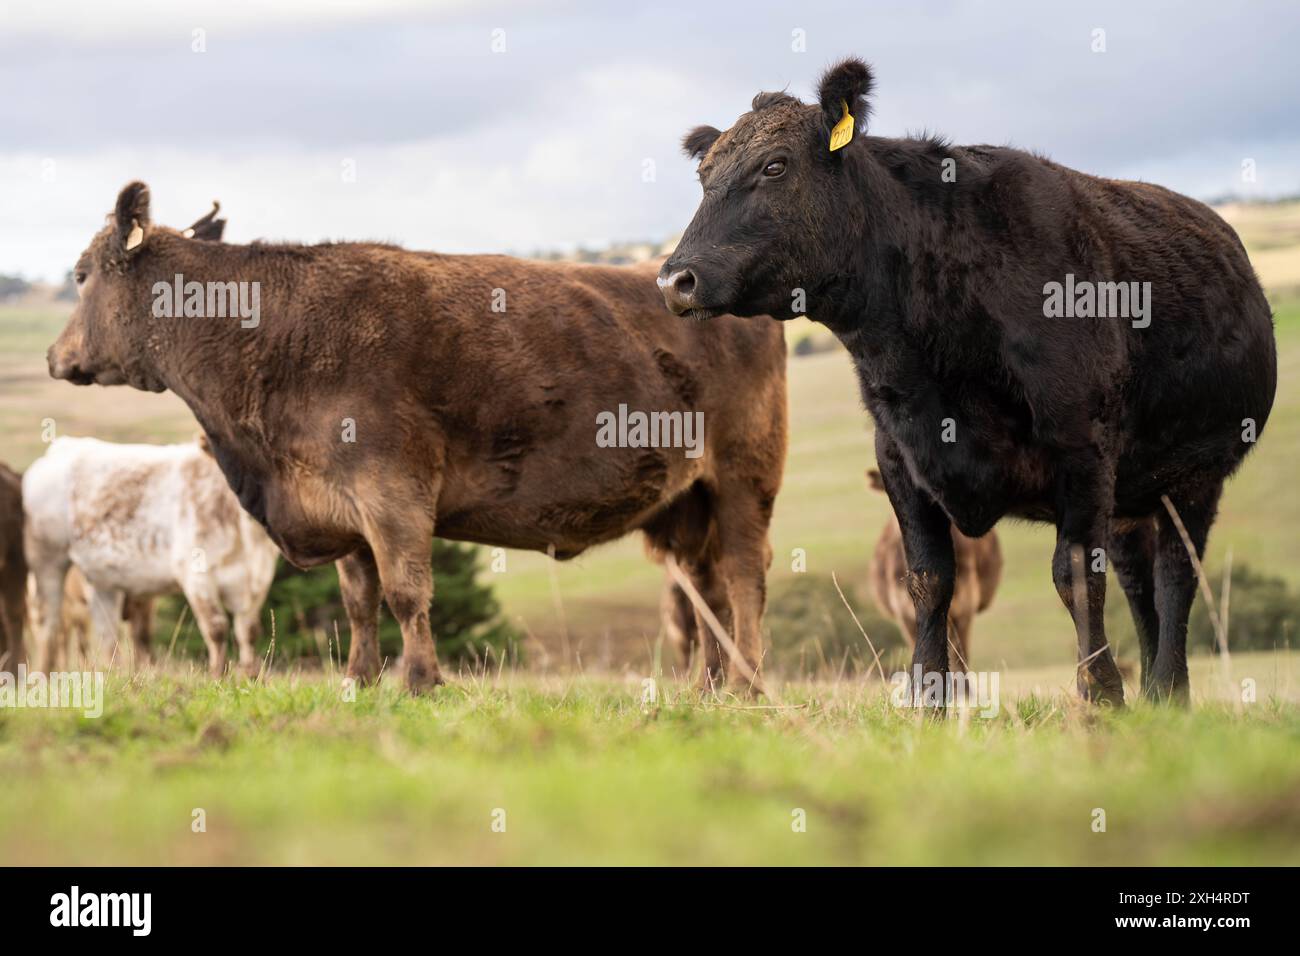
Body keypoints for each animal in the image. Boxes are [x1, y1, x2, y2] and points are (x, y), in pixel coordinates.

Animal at [23, 436, 281, 676]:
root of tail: (64, 445)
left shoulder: (259, 580)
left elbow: (249, 631)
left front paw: (252, 677)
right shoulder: (196, 576)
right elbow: (216, 628)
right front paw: (218, 677)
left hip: (101, 576)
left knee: (107, 631)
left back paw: (114, 675)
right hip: (46, 559)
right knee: (50, 623)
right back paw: (43, 678)